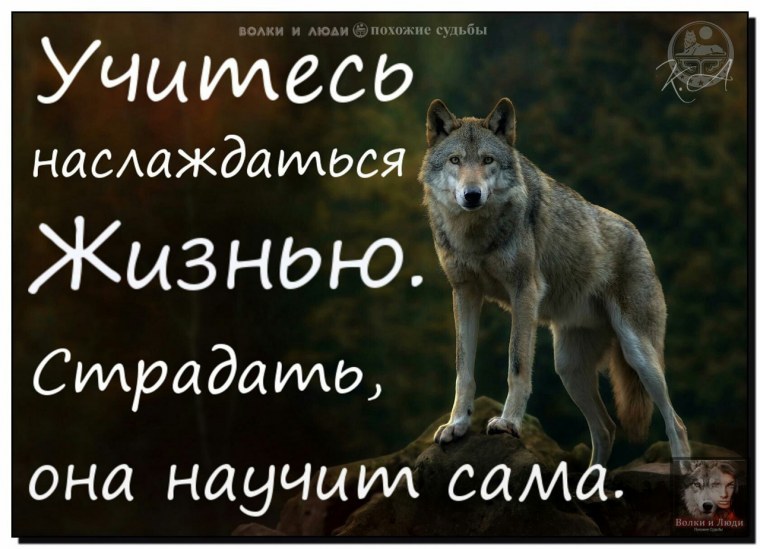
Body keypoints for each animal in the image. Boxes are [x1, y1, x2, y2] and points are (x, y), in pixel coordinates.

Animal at [418, 98, 691, 466]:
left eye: (487, 160)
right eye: (455, 160)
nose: (472, 195)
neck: (476, 236)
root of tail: (638, 236)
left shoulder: (525, 292)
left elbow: (517, 364)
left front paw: (508, 423)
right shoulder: (464, 293)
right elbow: (464, 370)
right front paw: (457, 425)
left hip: (639, 355)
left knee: (676, 423)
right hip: (568, 367)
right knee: (606, 428)